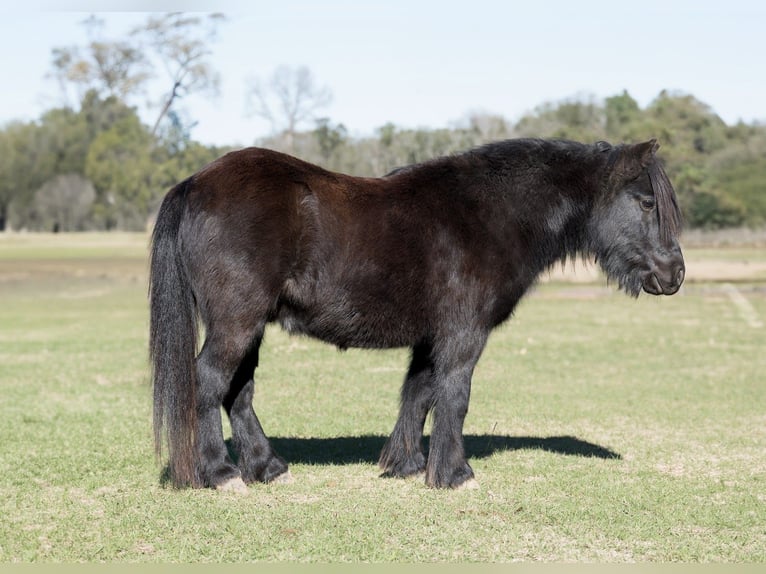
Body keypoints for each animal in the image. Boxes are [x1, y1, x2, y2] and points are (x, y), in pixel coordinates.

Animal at [149, 137, 684, 492]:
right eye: (646, 201)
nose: (675, 273)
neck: (491, 214)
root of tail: (194, 184)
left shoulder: (432, 338)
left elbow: (419, 394)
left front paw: (406, 464)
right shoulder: (464, 335)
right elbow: (454, 398)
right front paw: (454, 474)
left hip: (251, 325)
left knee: (238, 391)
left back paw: (266, 468)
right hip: (236, 322)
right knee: (209, 382)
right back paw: (220, 474)